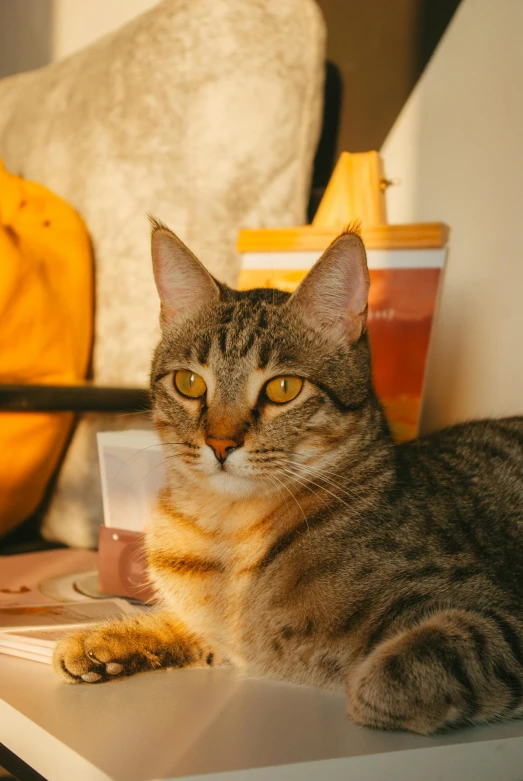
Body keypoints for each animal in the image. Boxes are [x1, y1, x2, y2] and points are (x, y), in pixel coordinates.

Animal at [54, 222, 523, 736]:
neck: (227, 535)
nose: (220, 443)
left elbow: (408, 666)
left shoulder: (493, 608)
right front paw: (103, 640)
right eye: (189, 383)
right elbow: (177, 623)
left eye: (283, 388)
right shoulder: (215, 634)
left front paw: (368, 687)